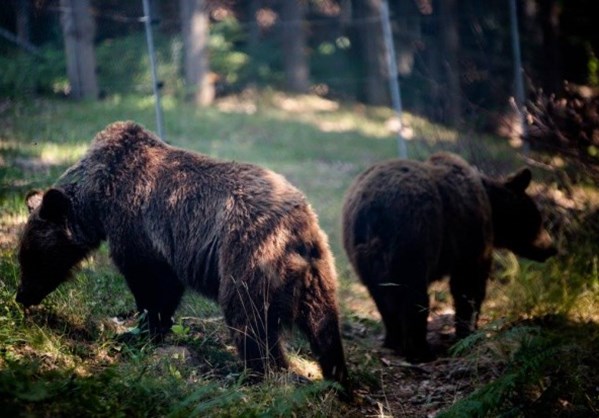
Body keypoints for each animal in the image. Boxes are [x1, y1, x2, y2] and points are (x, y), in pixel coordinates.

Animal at [16, 121, 350, 388]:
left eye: (31, 257)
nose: (22, 296)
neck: (97, 197)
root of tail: (299, 227)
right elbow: (167, 288)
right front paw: (151, 330)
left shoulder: (137, 228)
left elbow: (150, 284)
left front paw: (139, 332)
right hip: (318, 271)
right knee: (324, 327)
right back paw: (337, 380)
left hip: (249, 256)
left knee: (247, 318)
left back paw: (253, 375)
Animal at [342, 153, 556, 362]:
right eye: (538, 219)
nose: (551, 248)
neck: (491, 208)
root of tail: (372, 209)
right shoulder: (470, 241)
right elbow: (469, 287)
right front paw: (468, 332)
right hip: (414, 239)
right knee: (413, 297)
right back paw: (420, 351)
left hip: (362, 254)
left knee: (383, 298)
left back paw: (393, 341)